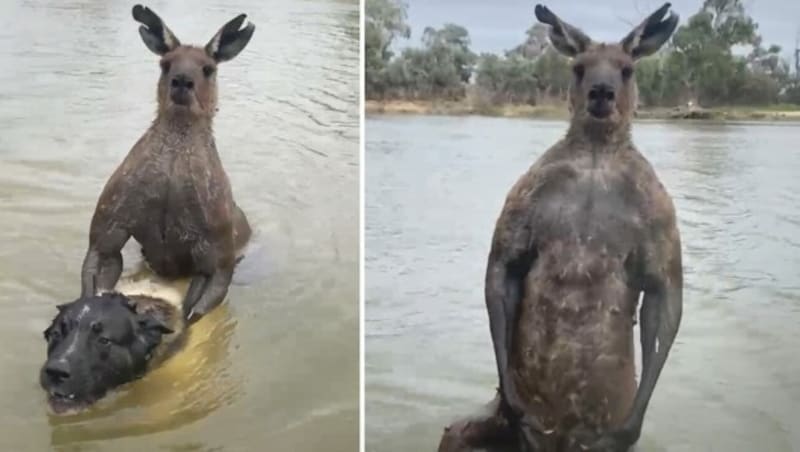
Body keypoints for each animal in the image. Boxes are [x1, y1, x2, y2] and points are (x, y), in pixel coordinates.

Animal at [79, 4, 255, 322]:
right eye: (165, 64)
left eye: (208, 69)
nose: (182, 81)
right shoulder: (108, 229)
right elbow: (96, 273)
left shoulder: (218, 251)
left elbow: (198, 306)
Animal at [444, 3, 680, 452]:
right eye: (579, 67)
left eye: (626, 70)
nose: (601, 92)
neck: (596, 156)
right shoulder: (521, 204)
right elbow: (503, 269)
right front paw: (518, 408)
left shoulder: (662, 219)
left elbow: (664, 299)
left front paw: (629, 426)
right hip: (469, 432)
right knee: (458, 432)